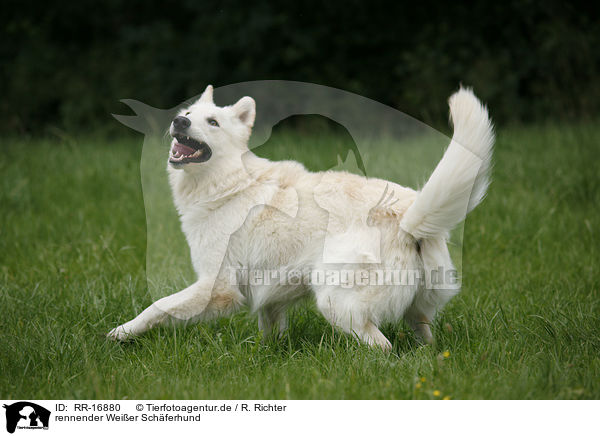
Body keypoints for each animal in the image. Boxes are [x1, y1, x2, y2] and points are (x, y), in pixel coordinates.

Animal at [108, 86, 492, 350]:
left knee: (382, 348)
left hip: (335, 303)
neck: (229, 183)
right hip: (416, 311)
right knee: (424, 337)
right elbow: (270, 331)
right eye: (188, 112)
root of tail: (408, 217)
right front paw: (266, 355)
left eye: (212, 122)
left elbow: (157, 307)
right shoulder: (269, 294)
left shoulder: (216, 289)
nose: (179, 121)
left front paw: (120, 333)